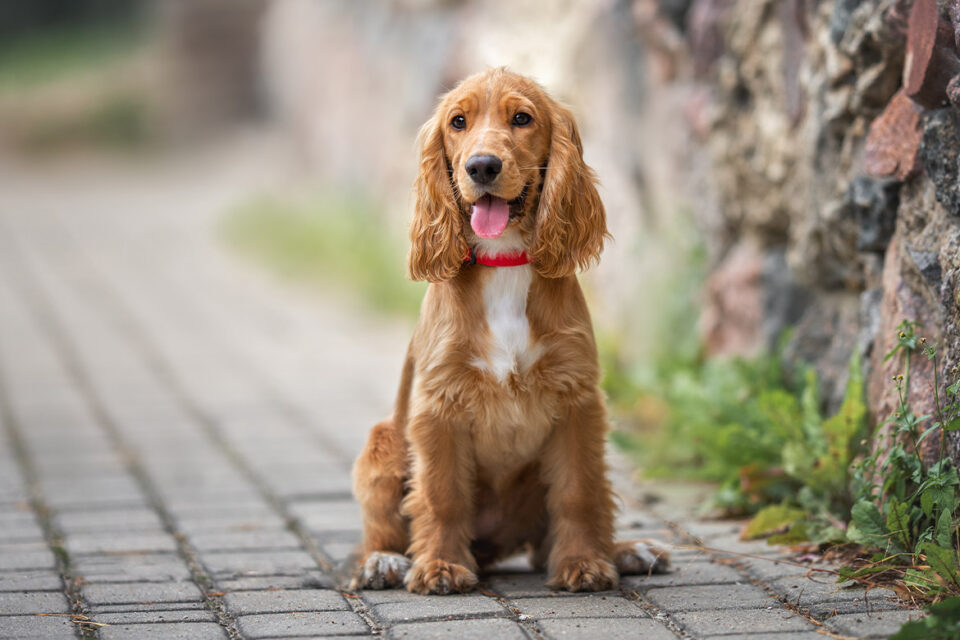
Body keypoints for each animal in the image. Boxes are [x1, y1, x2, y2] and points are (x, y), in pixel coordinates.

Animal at [350, 69, 668, 596]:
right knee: (382, 528)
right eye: (458, 122)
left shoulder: (578, 400)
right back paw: (384, 562)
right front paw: (439, 566)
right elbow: (441, 494)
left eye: (522, 119)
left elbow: (580, 492)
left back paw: (626, 551)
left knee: (555, 534)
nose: (482, 166)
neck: (505, 260)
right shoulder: (438, 406)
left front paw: (584, 562)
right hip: (384, 440)